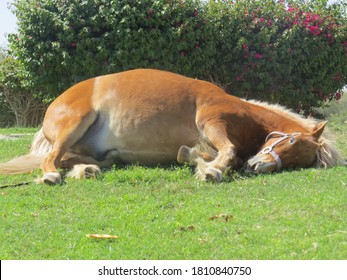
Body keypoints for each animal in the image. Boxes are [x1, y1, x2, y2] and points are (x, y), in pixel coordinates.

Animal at [0, 69, 346, 185]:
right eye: (291, 142)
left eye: (300, 161)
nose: (259, 166)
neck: (245, 114)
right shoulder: (212, 123)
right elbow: (229, 152)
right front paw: (211, 171)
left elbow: (222, 155)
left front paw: (195, 159)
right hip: (72, 126)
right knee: (51, 160)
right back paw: (51, 176)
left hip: (100, 153)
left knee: (71, 160)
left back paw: (85, 171)